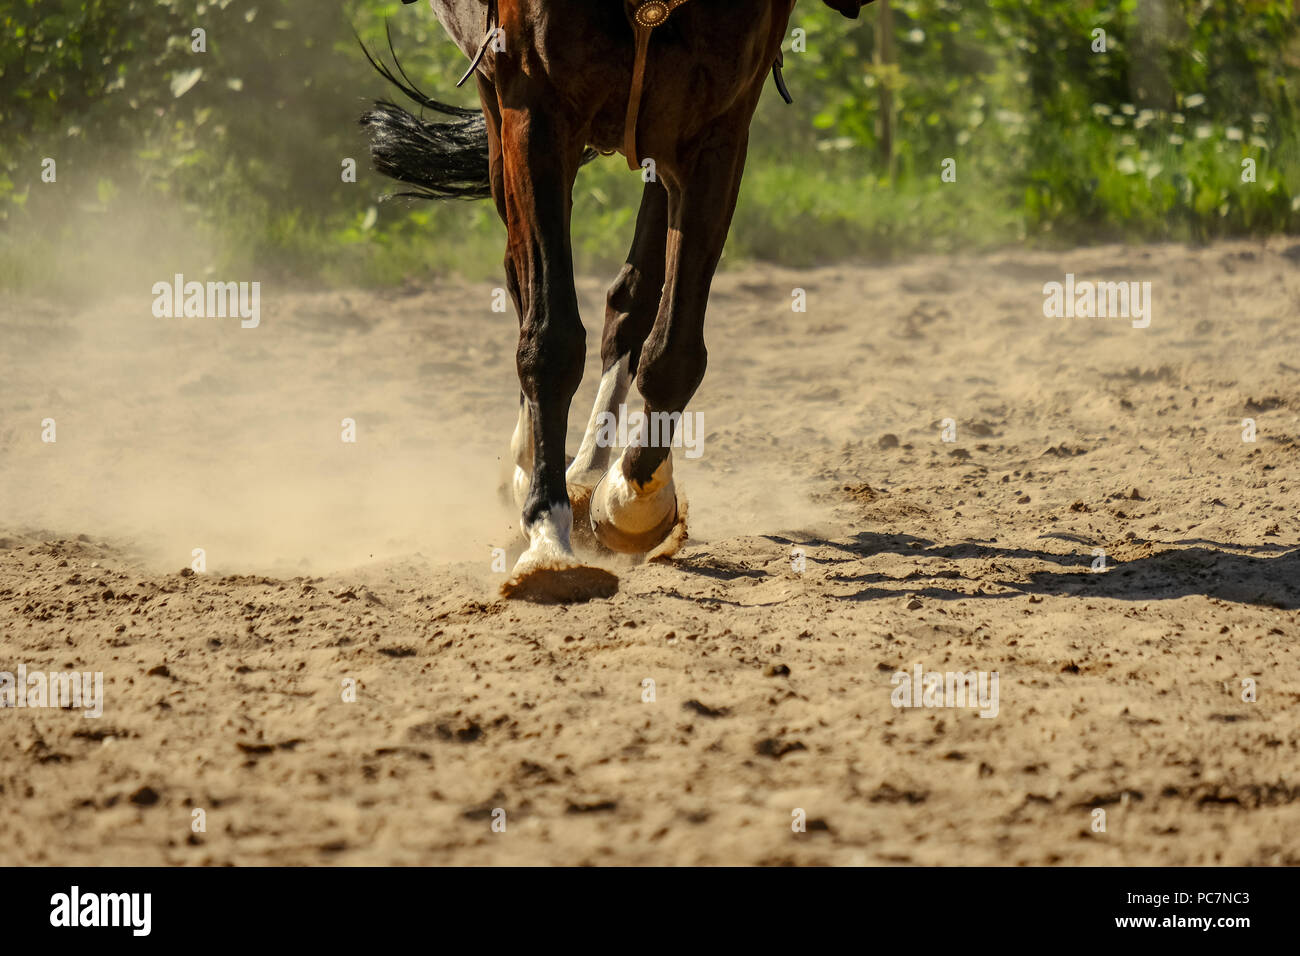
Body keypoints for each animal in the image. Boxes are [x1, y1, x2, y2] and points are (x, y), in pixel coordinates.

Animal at [361, 0, 868, 600]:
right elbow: (551, 335)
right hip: (497, 108)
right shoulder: (535, 112)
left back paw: (589, 473)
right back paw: (535, 467)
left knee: (630, 301)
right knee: (520, 274)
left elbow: (673, 348)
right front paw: (548, 537)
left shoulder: (715, 131)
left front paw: (632, 499)